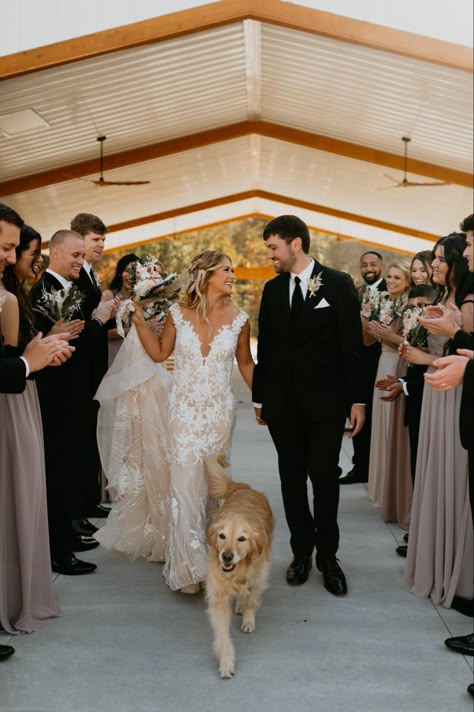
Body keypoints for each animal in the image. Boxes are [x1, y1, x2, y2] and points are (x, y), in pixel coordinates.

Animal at [204, 456, 274, 680]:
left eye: (242, 539)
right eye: (222, 536)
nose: (226, 556)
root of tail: (246, 488)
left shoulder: (260, 577)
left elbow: (252, 599)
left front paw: (248, 619)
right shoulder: (218, 596)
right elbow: (223, 634)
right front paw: (226, 661)